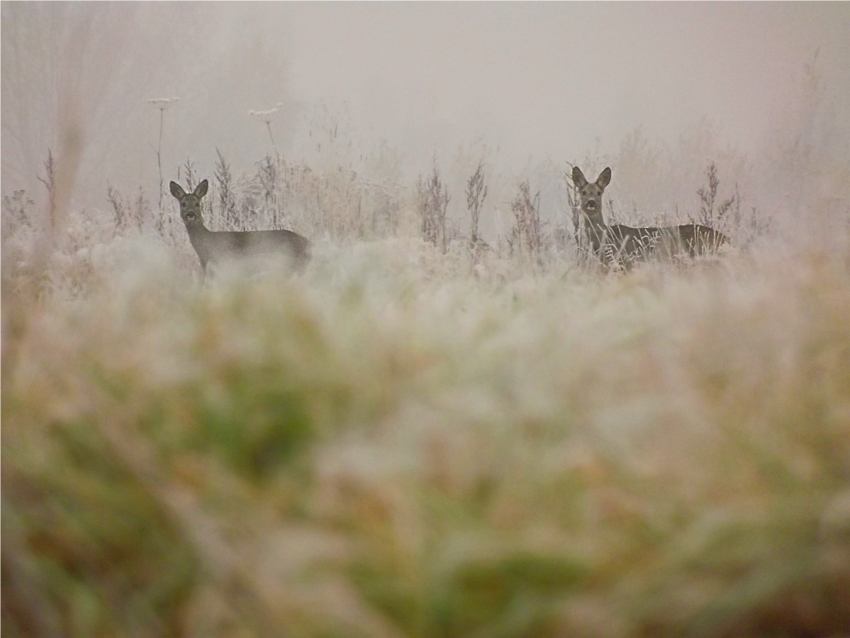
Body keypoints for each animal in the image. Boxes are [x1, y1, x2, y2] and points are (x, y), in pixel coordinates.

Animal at [568, 166, 724, 268]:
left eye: (599, 192)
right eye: (583, 192)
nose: (591, 202)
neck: (604, 238)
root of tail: (725, 238)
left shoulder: (625, 261)